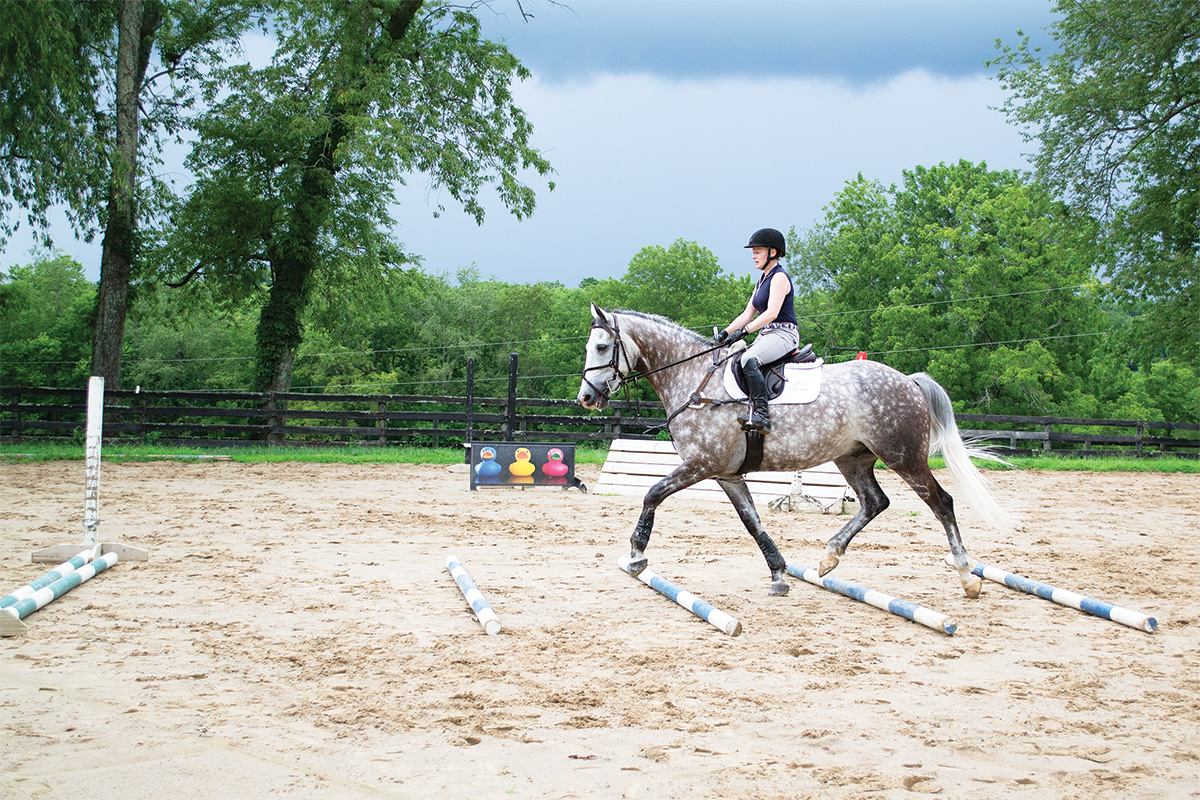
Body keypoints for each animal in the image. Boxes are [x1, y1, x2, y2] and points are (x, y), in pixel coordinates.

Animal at [580, 303, 1012, 597]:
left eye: (601, 347)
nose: (586, 397)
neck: (694, 378)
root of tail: (908, 380)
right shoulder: (726, 474)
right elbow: (753, 522)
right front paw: (778, 573)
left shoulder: (701, 463)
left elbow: (653, 494)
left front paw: (637, 554)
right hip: (852, 458)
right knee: (875, 502)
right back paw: (828, 558)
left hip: (904, 457)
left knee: (942, 503)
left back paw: (966, 577)